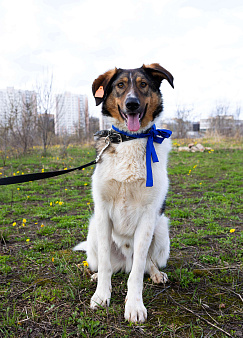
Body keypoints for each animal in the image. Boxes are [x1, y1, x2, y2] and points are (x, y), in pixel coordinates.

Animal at [73, 63, 174, 322]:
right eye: (120, 85)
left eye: (143, 84)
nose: (132, 104)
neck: (130, 140)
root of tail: (124, 262)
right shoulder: (102, 212)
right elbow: (106, 264)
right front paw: (102, 295)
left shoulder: (149, 216)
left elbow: (138, 271)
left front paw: (134, 305)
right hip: (93, 231)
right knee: (107, 265)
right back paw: (97, 276)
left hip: (162, 229)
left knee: (145, 263)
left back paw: (156, 273)